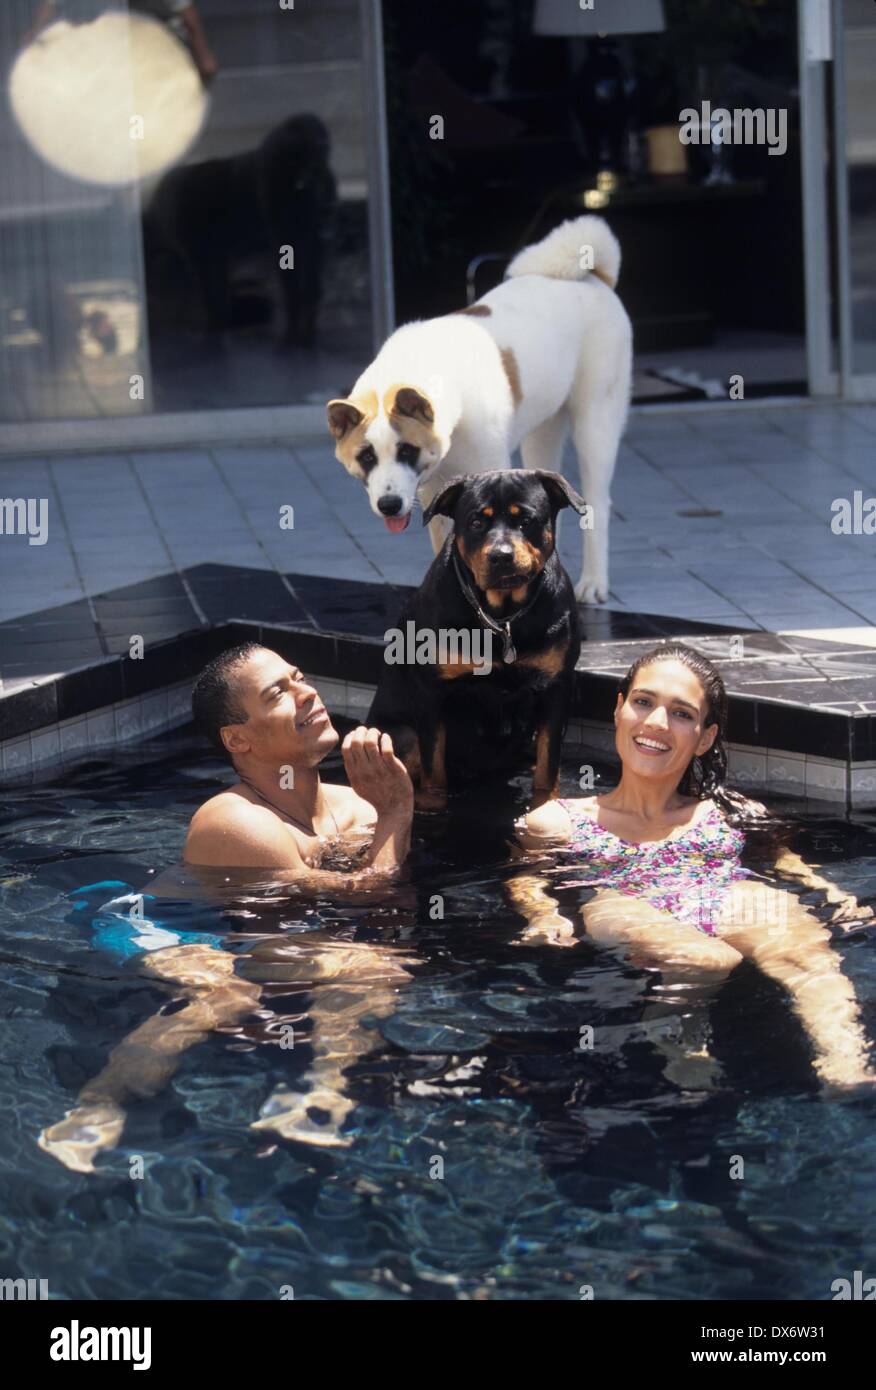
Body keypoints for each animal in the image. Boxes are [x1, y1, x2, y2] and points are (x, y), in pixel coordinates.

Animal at [328, 215, 631, 603]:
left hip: (596, 420)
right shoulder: (433, 488)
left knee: (597, 501)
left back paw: (593, 582)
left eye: (407, 451)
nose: (390, 505)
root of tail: (595, 278)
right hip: (542, 428)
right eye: (366, 457)